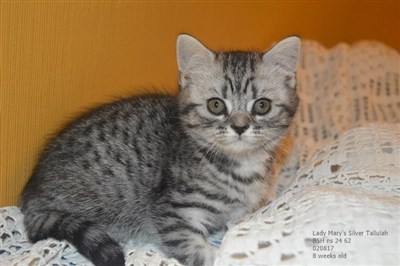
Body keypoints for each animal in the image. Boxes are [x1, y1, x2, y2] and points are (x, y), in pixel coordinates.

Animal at [19, 35, 300, 266]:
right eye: (216, 105)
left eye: (262, 105)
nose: (240, 127)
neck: (238, 164)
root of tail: (30, 193)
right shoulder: (171, 210)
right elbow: (195, 248)